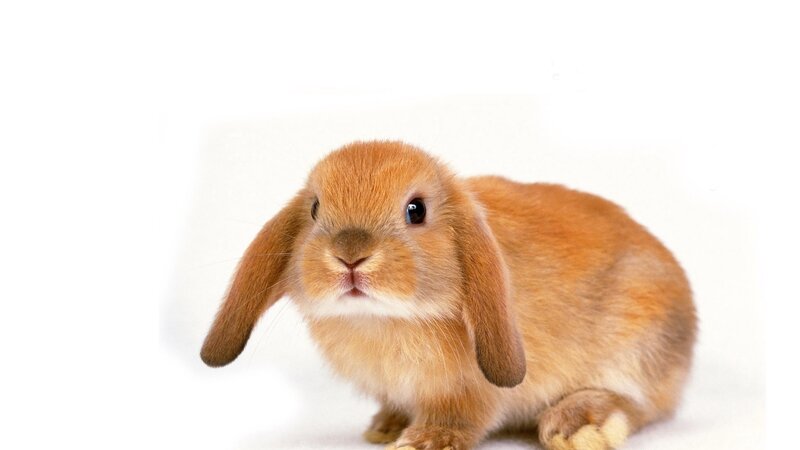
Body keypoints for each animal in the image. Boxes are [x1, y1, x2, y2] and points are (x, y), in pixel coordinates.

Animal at [200, 141, 697, 450]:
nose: (350, 256)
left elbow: (462, 417)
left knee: (638, 405)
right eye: (316, 208)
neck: (385, 320)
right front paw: (387, 427)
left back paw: (575, 426)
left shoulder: (469, 391)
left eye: (415, 210)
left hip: (637, 346)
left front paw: (423, 441)